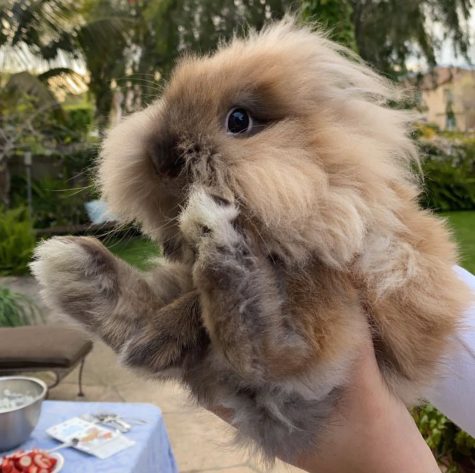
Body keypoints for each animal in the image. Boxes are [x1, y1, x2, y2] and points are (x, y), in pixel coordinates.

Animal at [30, 17, 472, 460]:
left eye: (238, 121)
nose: (162, 156)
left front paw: (161, 335)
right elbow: (188, 299)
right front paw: (159, 335)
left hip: (331, 311)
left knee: (271, 354)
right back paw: (77, 268)